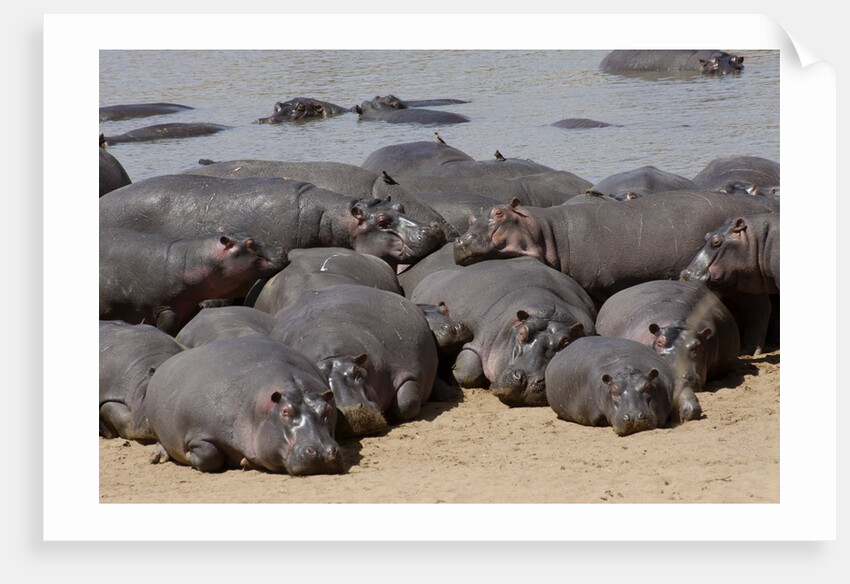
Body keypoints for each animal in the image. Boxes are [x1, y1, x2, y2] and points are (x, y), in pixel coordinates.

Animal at [100, 227, 288, 335]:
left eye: (251, 235)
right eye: (250, 244)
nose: (282, 250)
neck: (193, 260)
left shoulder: (189, 307)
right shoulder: (166, 309)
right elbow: (167, 331)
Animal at [146, 335, 344, 475]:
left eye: (327, 409)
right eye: (285, 411)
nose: (323, 451)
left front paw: (245, 462)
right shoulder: (197, 431)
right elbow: (210, 455)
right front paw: (188, 456)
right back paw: (157, 456)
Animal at [270, 285, 439, 434]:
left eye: (358, 373)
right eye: (320, 383)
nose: (350, 413)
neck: (333, 356)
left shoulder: (404, 371)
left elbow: (406, 403)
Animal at [410, 257, 597, 407]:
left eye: (565, 343)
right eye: (522, 333)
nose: (528, 379)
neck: (550, 312)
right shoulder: (478, 339)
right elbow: (469, 370)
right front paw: (453, 374)